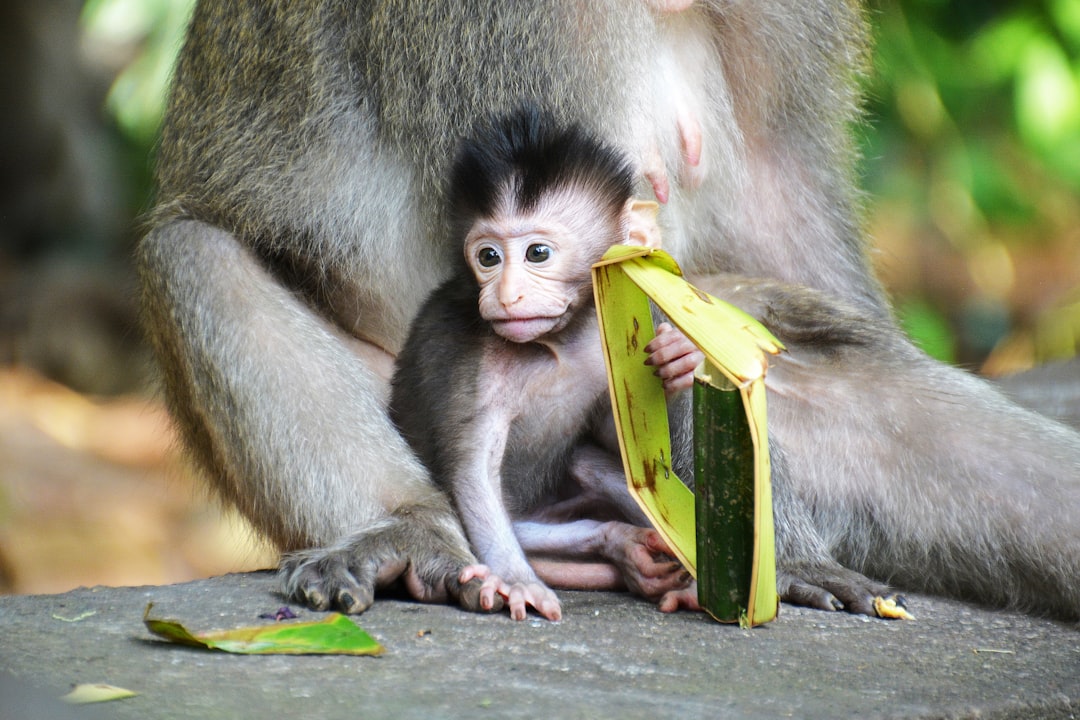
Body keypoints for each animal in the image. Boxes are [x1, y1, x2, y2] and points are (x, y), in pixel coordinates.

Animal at [390, 106, 699, 621]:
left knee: (592, 466)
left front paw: (677, 363)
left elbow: (625, 446)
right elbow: (473, 470)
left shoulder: (603, 343)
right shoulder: (472, 360)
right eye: (488, 257)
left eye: (538, 253)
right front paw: (517, 582)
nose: (506, 294)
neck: (554, 344)